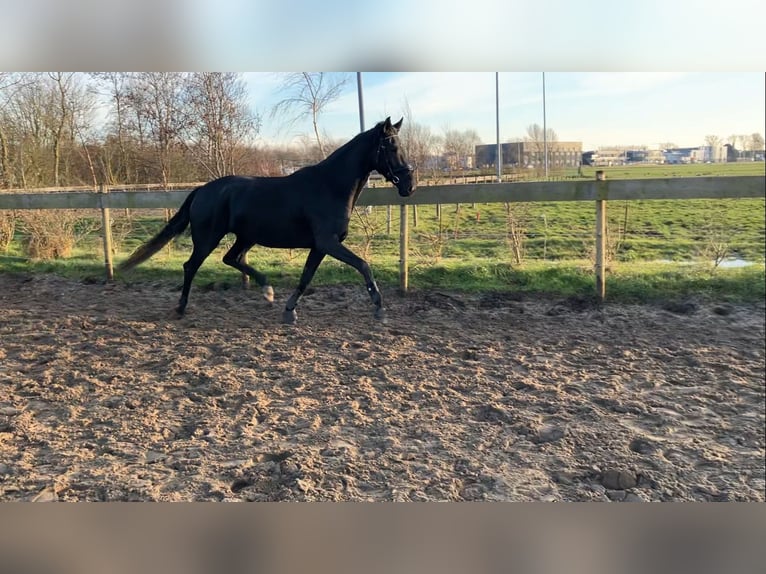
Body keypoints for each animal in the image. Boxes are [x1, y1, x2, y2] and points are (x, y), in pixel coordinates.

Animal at [117, 117, 414, 324]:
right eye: (391, 146)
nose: (409, 185)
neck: (330, 186)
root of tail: (202, 189)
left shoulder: (320, 246)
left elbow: (306, 278)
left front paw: (289, 311)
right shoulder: (328, 243)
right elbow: (363, 265)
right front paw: (379, 308)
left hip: (245, 237)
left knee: (231, 258)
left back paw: (267, 290)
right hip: (207, 237)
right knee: (191, 266)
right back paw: (181, 308)